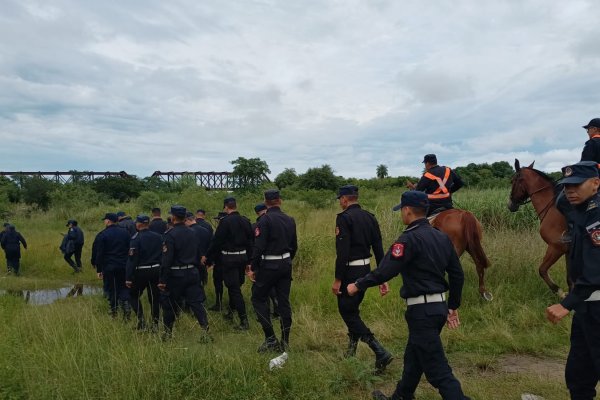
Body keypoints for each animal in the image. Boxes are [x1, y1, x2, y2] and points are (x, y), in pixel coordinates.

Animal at [506, 159, 568, 294]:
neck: (551, 208)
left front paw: (560, 292)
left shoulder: (556, 247)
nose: (510, 205)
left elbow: (542, 270)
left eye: (512, 181)